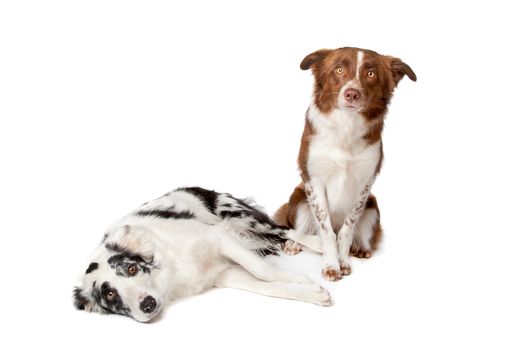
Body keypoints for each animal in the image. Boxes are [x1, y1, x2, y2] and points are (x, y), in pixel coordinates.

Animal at [72, 187, 332, 322]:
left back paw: (322, 245)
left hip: (240, 216)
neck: (170, 273)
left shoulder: (218, 237)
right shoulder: (223, 273)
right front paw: (311, 293)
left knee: (286, 230)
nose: (147, 304)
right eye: (110, 294)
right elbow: (267, 287)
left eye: (131, 268)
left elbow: (263, 270)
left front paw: (302, 279)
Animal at [272, 46, 416, 282]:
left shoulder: (364, 183)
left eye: (371, 73)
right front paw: (331, 266)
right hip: (298, 197)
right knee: (300, 229)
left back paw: (361, 248)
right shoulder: (313, 180)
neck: (346, 127)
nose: (352, 93)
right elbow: (327, 231)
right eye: (339, 69)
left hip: (373, 206)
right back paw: (293, 243)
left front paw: (343, 262)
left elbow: (346, 230)